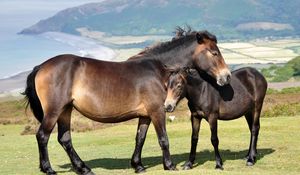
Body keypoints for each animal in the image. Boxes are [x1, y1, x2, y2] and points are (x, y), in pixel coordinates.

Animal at [23, 30, 231, 174]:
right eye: (214, 52)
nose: (226, 76)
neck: (158, 70)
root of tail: (41, 66)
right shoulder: (157, 111)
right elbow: (163, 139)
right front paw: (169, 165)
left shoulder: (145, 115)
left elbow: (140, 138)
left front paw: (138, 165)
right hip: (54, 110)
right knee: (42, 136)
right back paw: (48, 169)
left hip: (65, 110)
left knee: (64, 139)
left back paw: (83, 168)